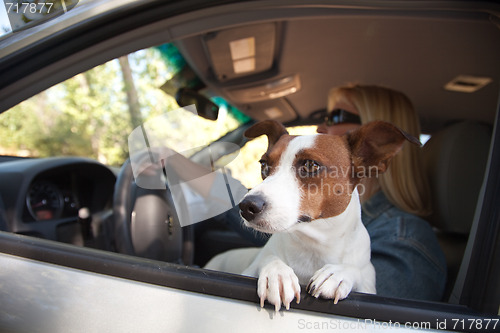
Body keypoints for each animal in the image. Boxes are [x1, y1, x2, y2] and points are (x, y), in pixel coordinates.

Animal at [205, 118, 420, 310]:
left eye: (310, 165)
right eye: (264, 165)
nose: (246, 206)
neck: (314, 244)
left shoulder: (368, 284)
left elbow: (356, 270)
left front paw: (338, 273)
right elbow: (268, 258)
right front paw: (277, 274)